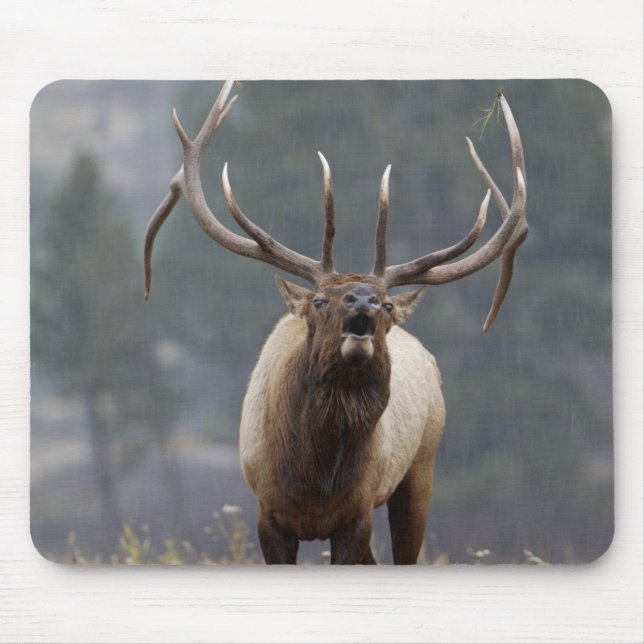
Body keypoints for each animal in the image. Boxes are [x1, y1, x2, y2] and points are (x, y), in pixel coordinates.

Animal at [144, 81, 528, 564]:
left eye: (387, 305)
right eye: (320, 301)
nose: (362, 299)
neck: (315, 482)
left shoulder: (357, 514)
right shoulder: (268, 512)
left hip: (421, 468)